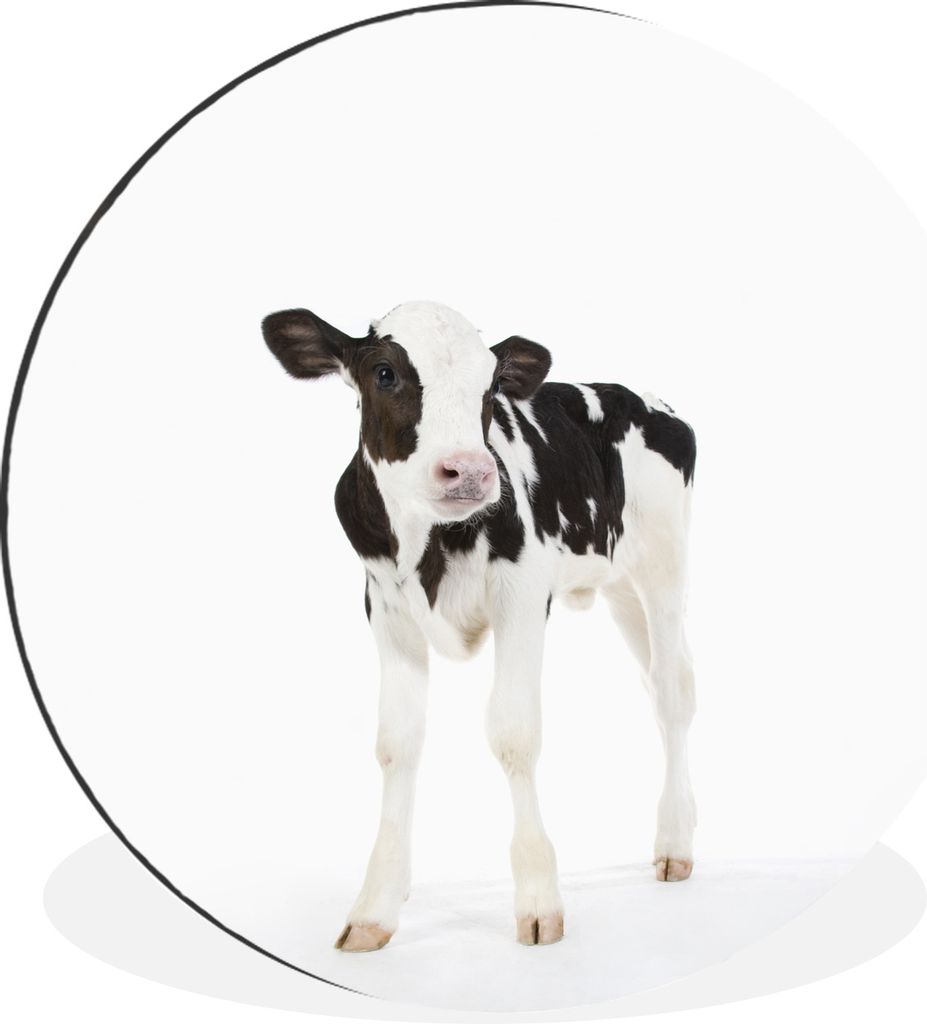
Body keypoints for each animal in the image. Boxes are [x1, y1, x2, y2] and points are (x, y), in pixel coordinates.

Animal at [262, 300, 697, 952]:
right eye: (385, 373)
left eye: (490, 386)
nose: (468, 471)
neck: (426, 542)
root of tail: (640, 397)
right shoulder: (384, 607)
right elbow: (397, 744)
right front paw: (378, 903)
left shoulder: (523, 593)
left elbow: (514, 734)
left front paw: (539, 900)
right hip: (619, 585)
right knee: (656, 682)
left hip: (663, 562)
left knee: (673, 691)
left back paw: (675, 843)